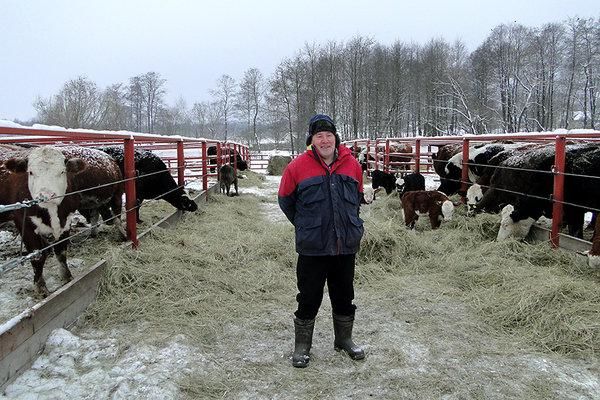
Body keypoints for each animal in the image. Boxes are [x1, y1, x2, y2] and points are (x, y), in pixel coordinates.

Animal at [0, 145, 85, 296]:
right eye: (30, 172)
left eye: (62, 171)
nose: (46, 195)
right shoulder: (25, 224)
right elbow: (38, 257)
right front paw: (41, 288)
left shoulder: (66, 221)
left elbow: (61, 252)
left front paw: (67, 277)